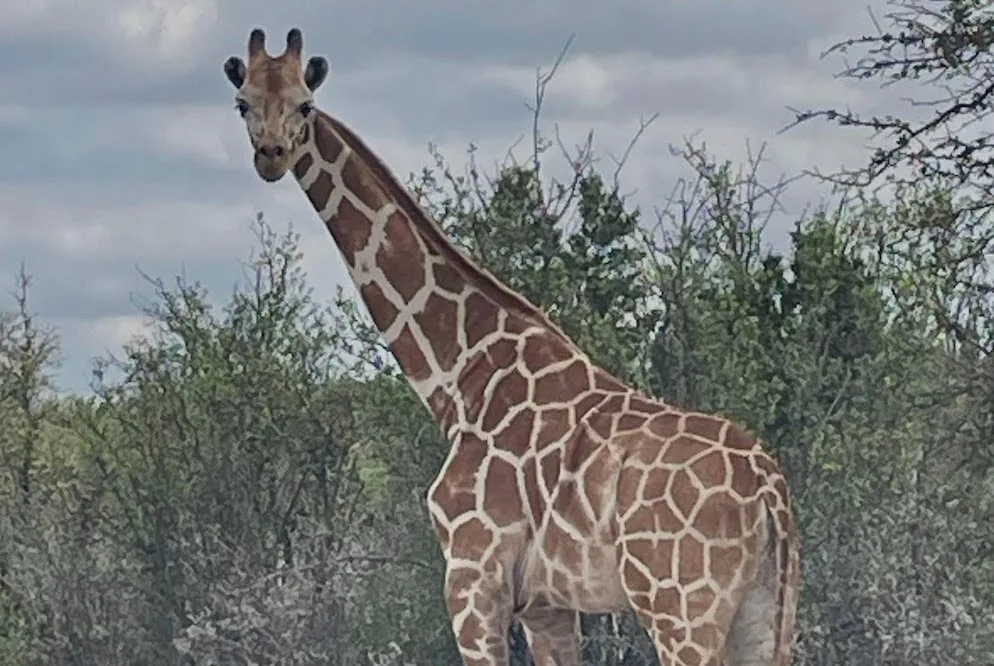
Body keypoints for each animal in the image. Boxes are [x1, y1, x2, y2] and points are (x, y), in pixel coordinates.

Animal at [222, 28, 800, 666]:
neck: (460, 377)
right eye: (243, 103)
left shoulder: (472, 577)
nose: (272, 156)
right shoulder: (547, 604)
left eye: (305, 105)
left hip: (679, 604)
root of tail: (770, 491)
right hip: (765, 610)